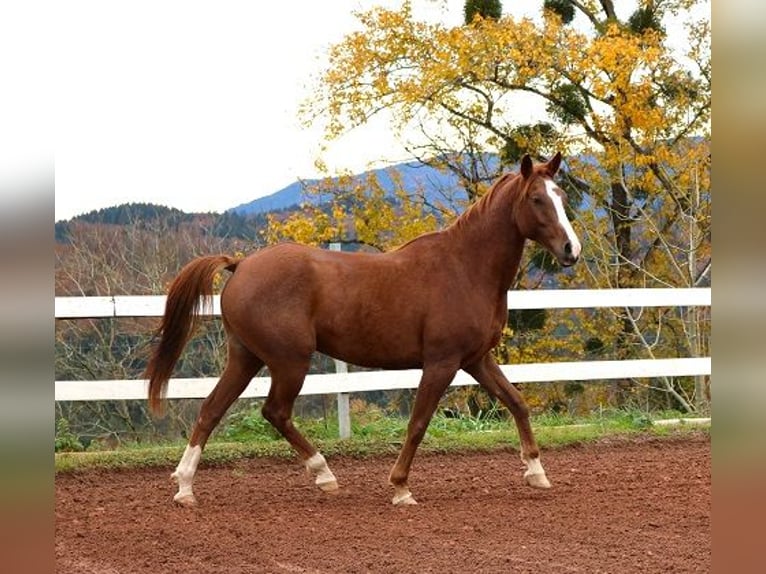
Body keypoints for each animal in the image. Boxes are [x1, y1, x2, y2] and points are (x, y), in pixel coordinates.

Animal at [144, 152, 581, 507]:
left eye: (561, 195)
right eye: (537, 199)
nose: (571, 250)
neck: (465, 267)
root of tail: (241, 264)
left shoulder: (476, 359)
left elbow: (517, 402)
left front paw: (536, 472)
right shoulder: (442, 362)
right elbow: (418, 423)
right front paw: (401, 487)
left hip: (246, 357)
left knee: (211, 409)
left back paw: (185, 487)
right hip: (289, 361)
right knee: (275, 411)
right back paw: (324, 474)